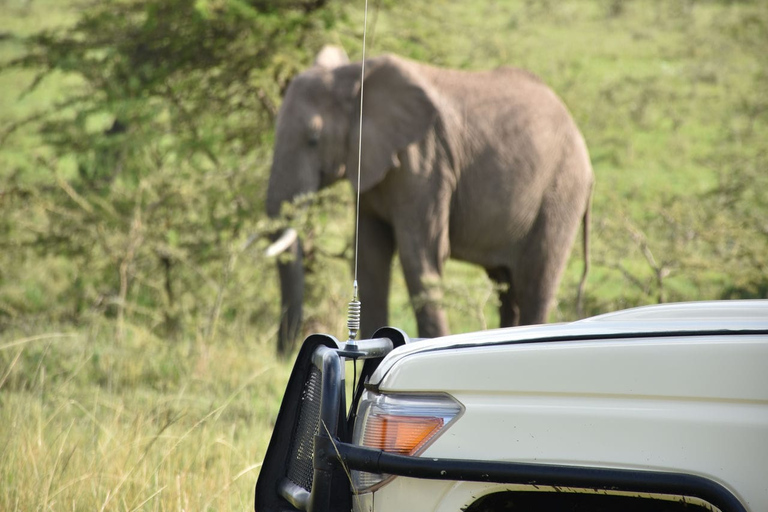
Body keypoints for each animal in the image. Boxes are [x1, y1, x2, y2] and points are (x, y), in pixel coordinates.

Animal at [268, 46, 596, 354]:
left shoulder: (425, 160)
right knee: (507, 289)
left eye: (313, 139)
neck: (353, 78)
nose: (284, 352)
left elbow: (421, 256)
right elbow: (370, 259)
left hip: (561, 191)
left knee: (535, 283)